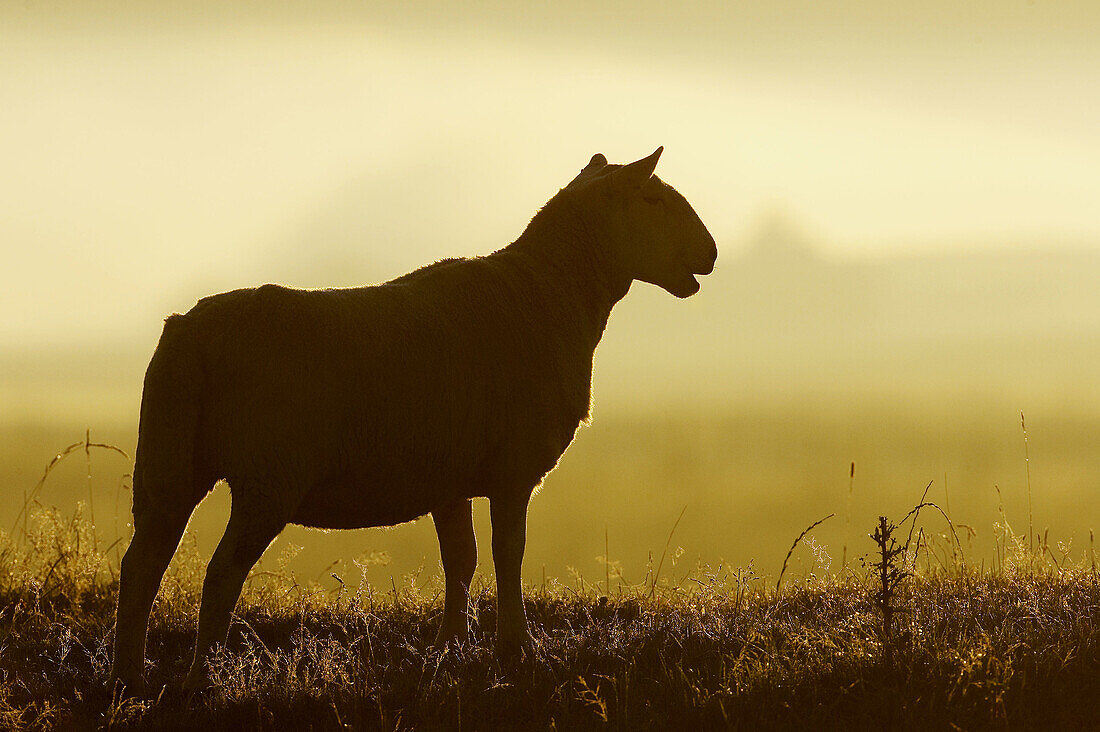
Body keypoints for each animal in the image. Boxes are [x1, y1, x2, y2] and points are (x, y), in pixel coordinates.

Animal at [109, 147, 712, 691]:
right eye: (654, 199)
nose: (709, 252)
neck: (551, 295)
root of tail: (189, 337)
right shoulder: (513, 471)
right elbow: (508, 555)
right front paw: (517, 649)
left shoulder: (450, 478)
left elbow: (461, 559)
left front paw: (451, 647)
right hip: (267, 479)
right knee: (219, 574)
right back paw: (200, 678)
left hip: (166, 468)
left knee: (140, 568)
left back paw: (130, 678)